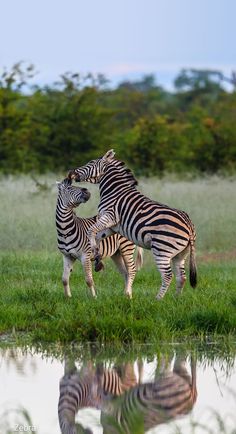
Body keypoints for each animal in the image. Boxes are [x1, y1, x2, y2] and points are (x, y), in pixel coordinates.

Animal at [68, 149, 197, 298]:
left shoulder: (110, 217)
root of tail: (189, 224)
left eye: (91, 162)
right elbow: (98, 235)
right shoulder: (113, 226)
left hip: (162, 249)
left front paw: (95, 252)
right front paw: (97, 256)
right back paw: (176, 299)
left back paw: (157, 300)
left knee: (168, 276)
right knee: (182, 277)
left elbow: (91, 231)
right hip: (180, 254)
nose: (71, 172)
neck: (114, 191)